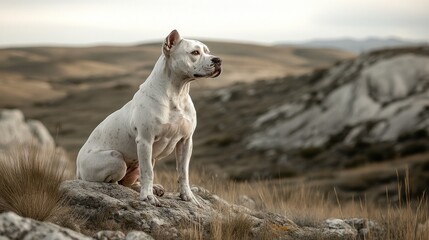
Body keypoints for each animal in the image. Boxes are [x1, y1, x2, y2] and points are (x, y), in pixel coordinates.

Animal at [77, 30, 222, 205]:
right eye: (195, 52)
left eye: (207, 51)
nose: (218, 60)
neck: (177, 93)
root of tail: (77, 168)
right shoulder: (146, 140)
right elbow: (148, 172)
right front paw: (147, 197)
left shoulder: (186, 141)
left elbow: (183, 172)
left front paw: (187, 196)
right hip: (115, 159)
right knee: (117, 181)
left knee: (128, 182)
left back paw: (153, 188)